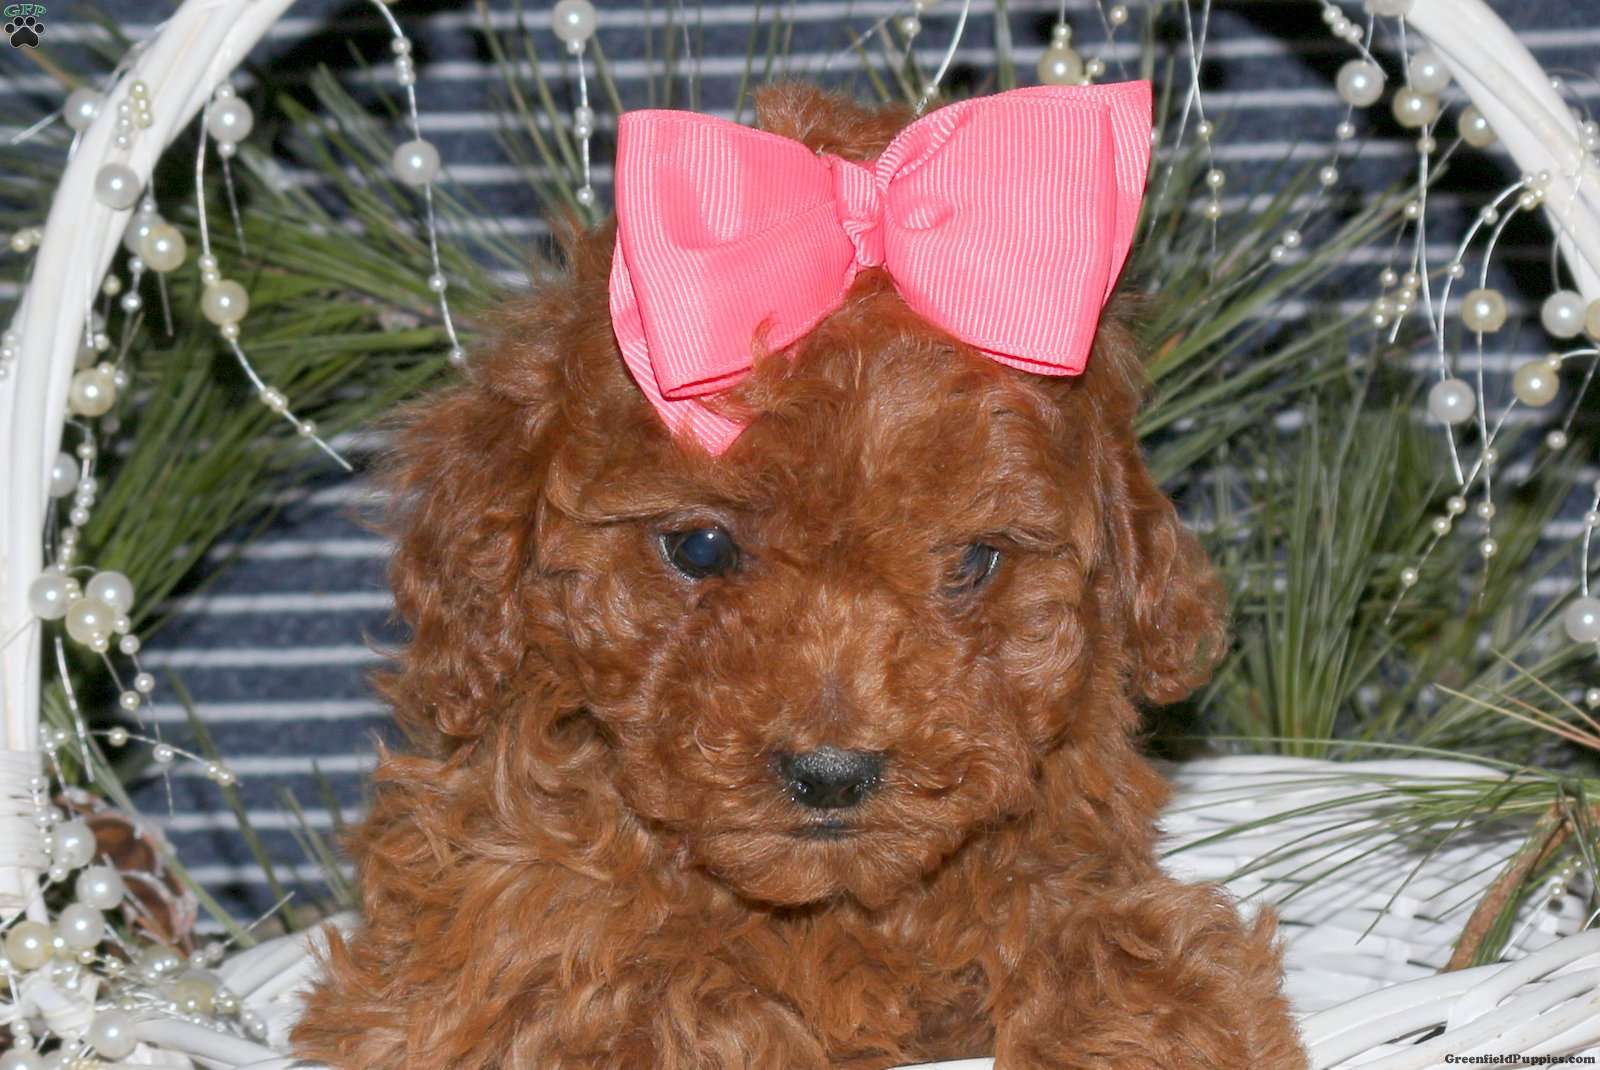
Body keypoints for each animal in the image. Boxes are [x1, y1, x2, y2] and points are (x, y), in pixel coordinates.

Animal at [293, 84, 1307, 1070]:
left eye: (973, 560)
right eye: (701, 549)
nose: (831, 775)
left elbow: (1109, 937)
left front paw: (1156, 1019)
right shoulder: (462, 959)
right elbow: (644, 992)